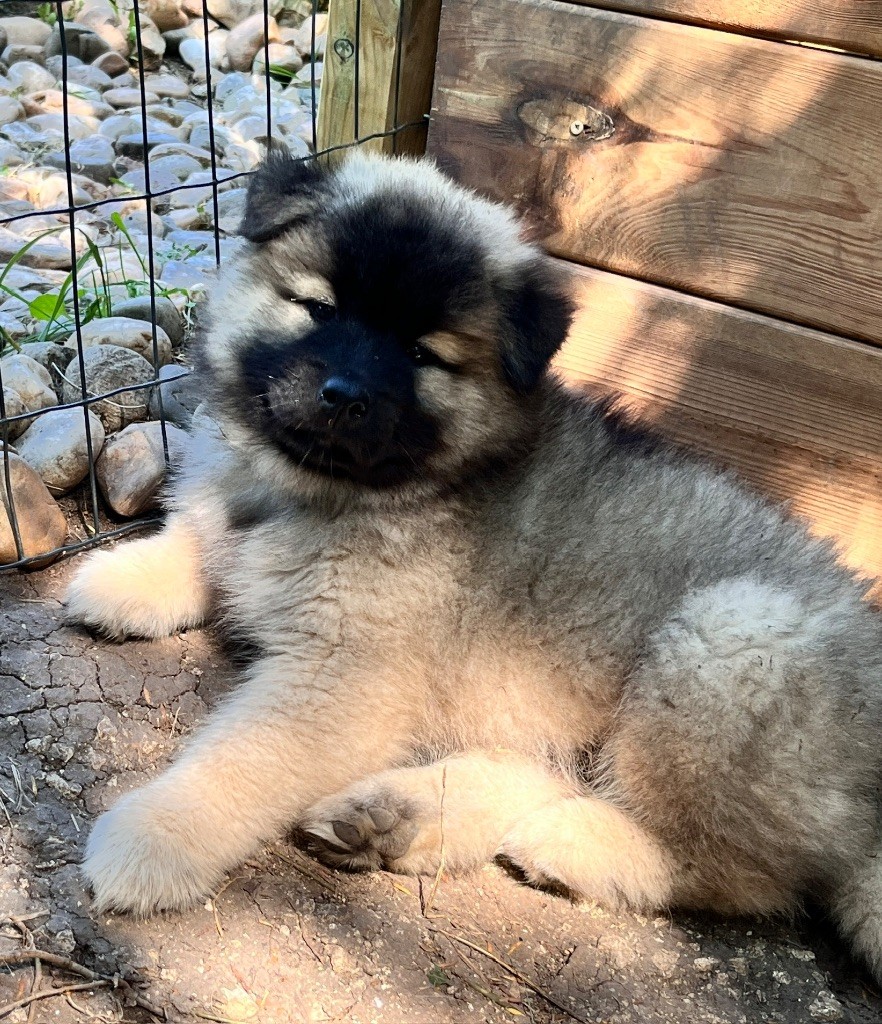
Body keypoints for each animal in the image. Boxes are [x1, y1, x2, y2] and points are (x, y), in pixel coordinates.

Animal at [66, 151, 882, 984]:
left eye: (422, 355)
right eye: (319, 309)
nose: (342, 396)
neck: (322, 491)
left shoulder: (343, 680)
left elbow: (240, 760)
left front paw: (158, 832)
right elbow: (196, 538)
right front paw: (124, 577)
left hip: (729, 639)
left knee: (742, 874)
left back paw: (574, 844)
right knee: (556, 771)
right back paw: (400, 818)